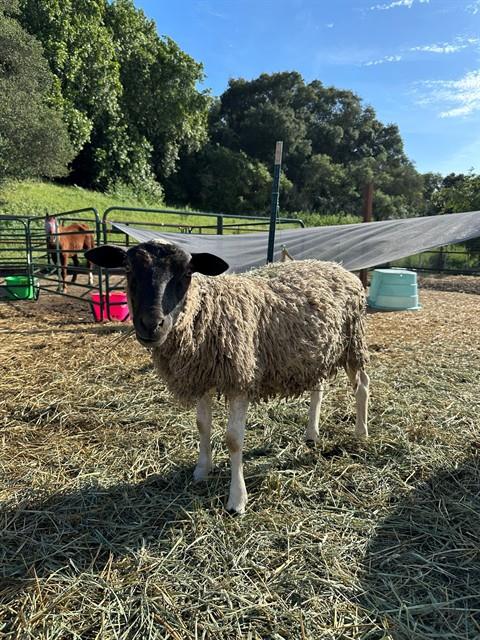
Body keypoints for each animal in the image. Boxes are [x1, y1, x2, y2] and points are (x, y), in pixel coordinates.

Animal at [86, 241, 370, 515]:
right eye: (127, 268)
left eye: (186, 273)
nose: (150, 325)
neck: (207, 312)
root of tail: (338, 267)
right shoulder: (202, 376)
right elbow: (202, 425)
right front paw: (202, 470)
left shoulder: (240, 379)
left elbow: (233, 440)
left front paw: (237, 500)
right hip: (317, 352)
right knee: (318, 389)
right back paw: (311, 433)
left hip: (353, 342)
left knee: (362, 387)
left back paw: (361, 432)